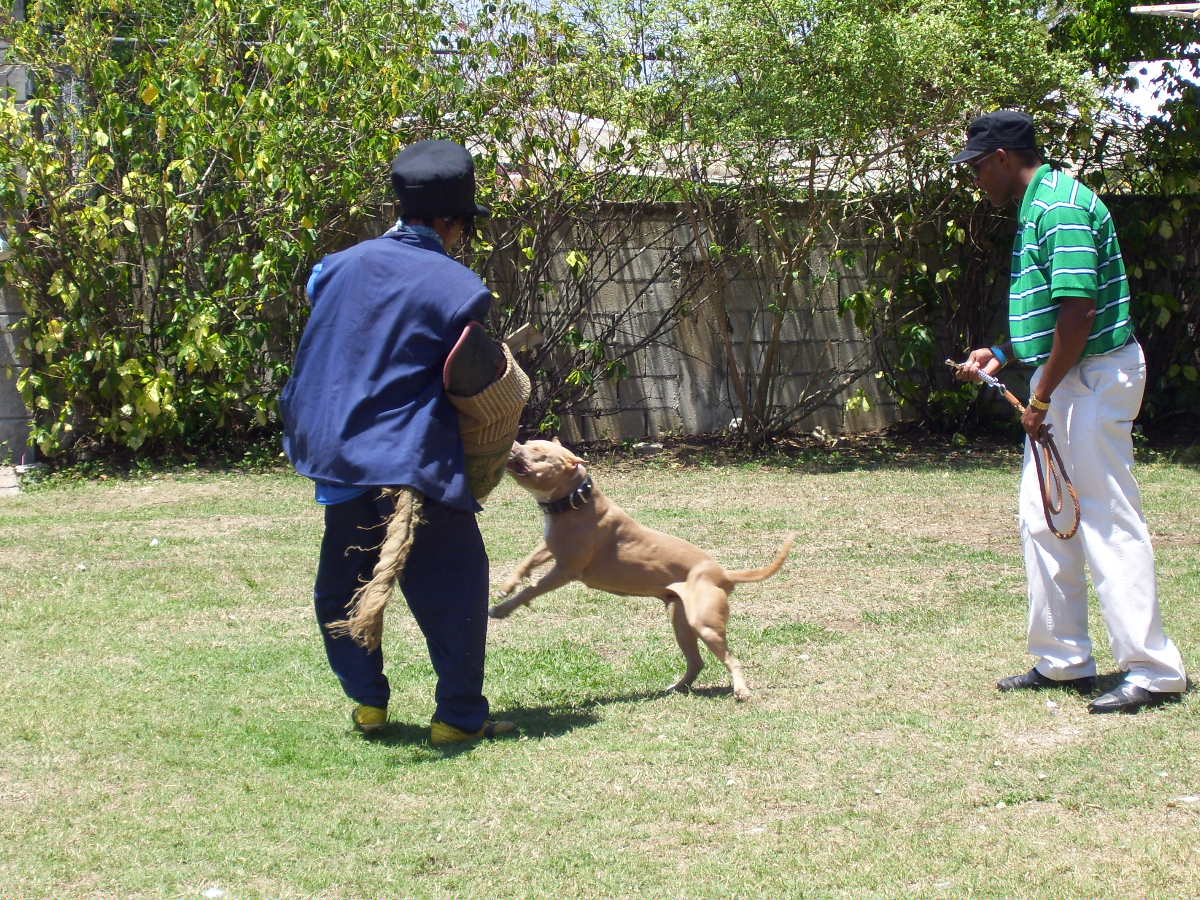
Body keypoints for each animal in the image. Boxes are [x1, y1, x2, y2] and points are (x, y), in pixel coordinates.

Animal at [491, 438, 795, 701]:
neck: (575, 500)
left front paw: (502, 608)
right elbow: (526, 562)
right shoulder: (550, 547)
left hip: (705, 623)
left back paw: (741, 690)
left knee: (731, 659)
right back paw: (675, 687)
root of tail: (723, 574)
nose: (514, 443)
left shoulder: (565, 569)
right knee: (696, 662)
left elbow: (531, 589)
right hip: (681, 623)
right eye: (529, 442)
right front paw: (506, 586)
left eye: (539, 452)